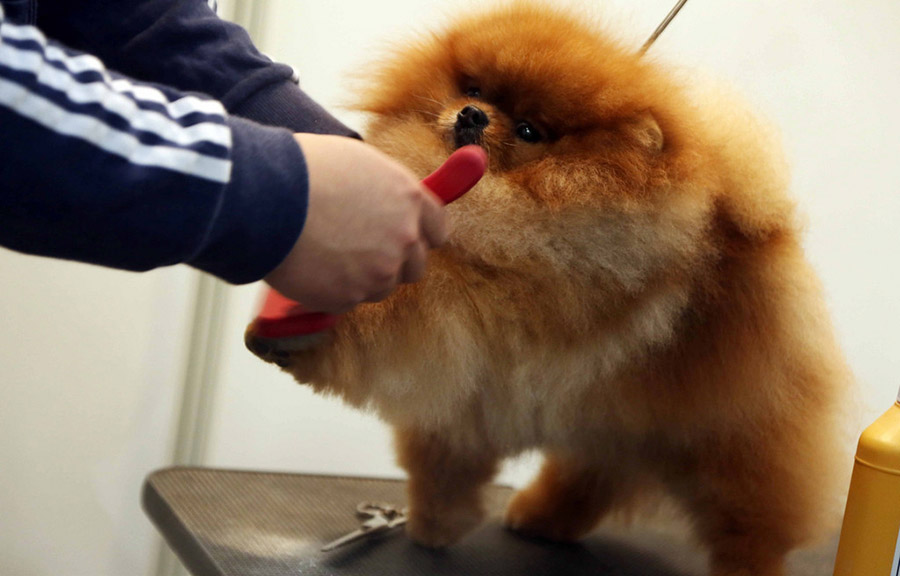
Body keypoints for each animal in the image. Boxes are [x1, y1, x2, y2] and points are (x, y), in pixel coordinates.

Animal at [244, 3, 852, 572]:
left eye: (530, 131)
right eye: (473, 88)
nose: (471, 113)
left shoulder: (488, 313)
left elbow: (406, 309)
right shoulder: (467, 383)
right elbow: (444, 457)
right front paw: (435, 522)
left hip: (730, 435)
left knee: (751, 518)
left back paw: (745, 564)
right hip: (619, 422)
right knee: (598, 471)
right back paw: (541, 519)